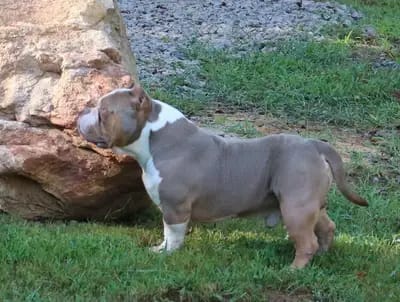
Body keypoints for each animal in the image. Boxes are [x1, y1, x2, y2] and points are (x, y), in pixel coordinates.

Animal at [76, 84, 368, 268]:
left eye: (102, 112)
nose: (82, 111)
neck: (154, 138)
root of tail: (313, 144)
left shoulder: (175, 208)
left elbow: (173, 234)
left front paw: (167, 256)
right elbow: (166, 234)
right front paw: (159, 249)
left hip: (296, 207)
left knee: (307, 242)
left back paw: (293, 270)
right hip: (311, 206)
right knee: (326, 227)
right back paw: (324, 255)